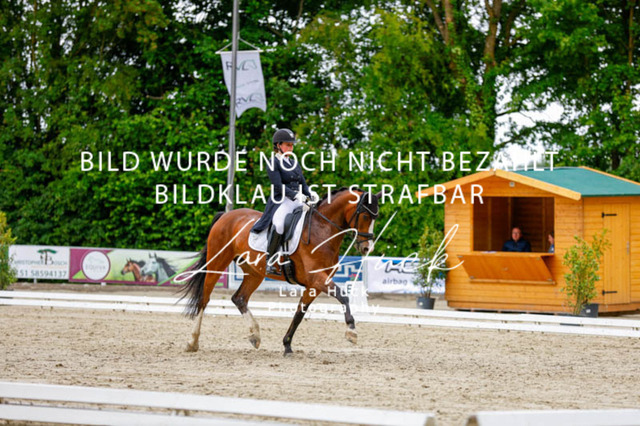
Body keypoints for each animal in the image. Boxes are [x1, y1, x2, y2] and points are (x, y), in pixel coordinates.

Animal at [179, 188, 380, 355]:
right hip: (217, 263)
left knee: (239, 298)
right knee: (204, 299)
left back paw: (255, 336)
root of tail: (225, 215)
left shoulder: (313, 285)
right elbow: (343, 296)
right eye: (364, 216)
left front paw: (287, 345)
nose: (366, 248)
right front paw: (351, 331)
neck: (321, 230)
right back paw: (192, 342)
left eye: (375, 218)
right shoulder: (317, 278)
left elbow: (299, 313)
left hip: (254, 272)